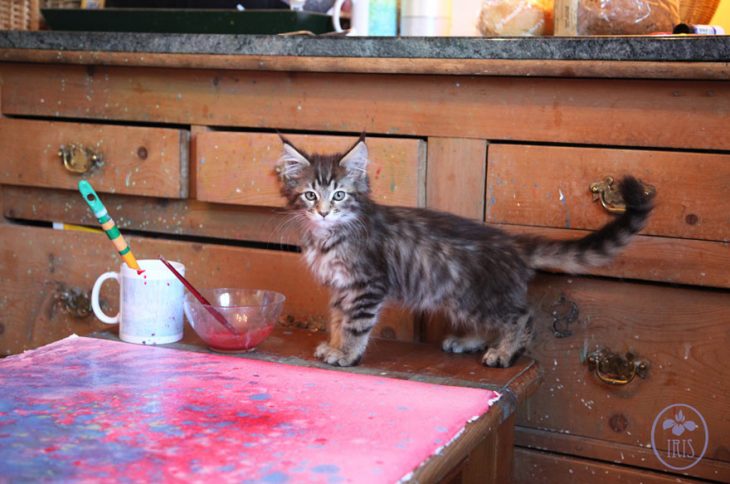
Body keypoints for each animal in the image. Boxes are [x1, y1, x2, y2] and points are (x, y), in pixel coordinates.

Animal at [276, 135, 652, 366]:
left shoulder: (367, 285)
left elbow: (355, 324)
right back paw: (470, 341)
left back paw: (504, 353)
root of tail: (511, 242)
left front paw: (346, 353)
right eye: (310, 195)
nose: (323, 211)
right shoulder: (341, 288)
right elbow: (338, 319)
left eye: (339, 195)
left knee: (522, 316)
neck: (330, 235)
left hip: (482, 297)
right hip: (462, 298)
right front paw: (335, 344)